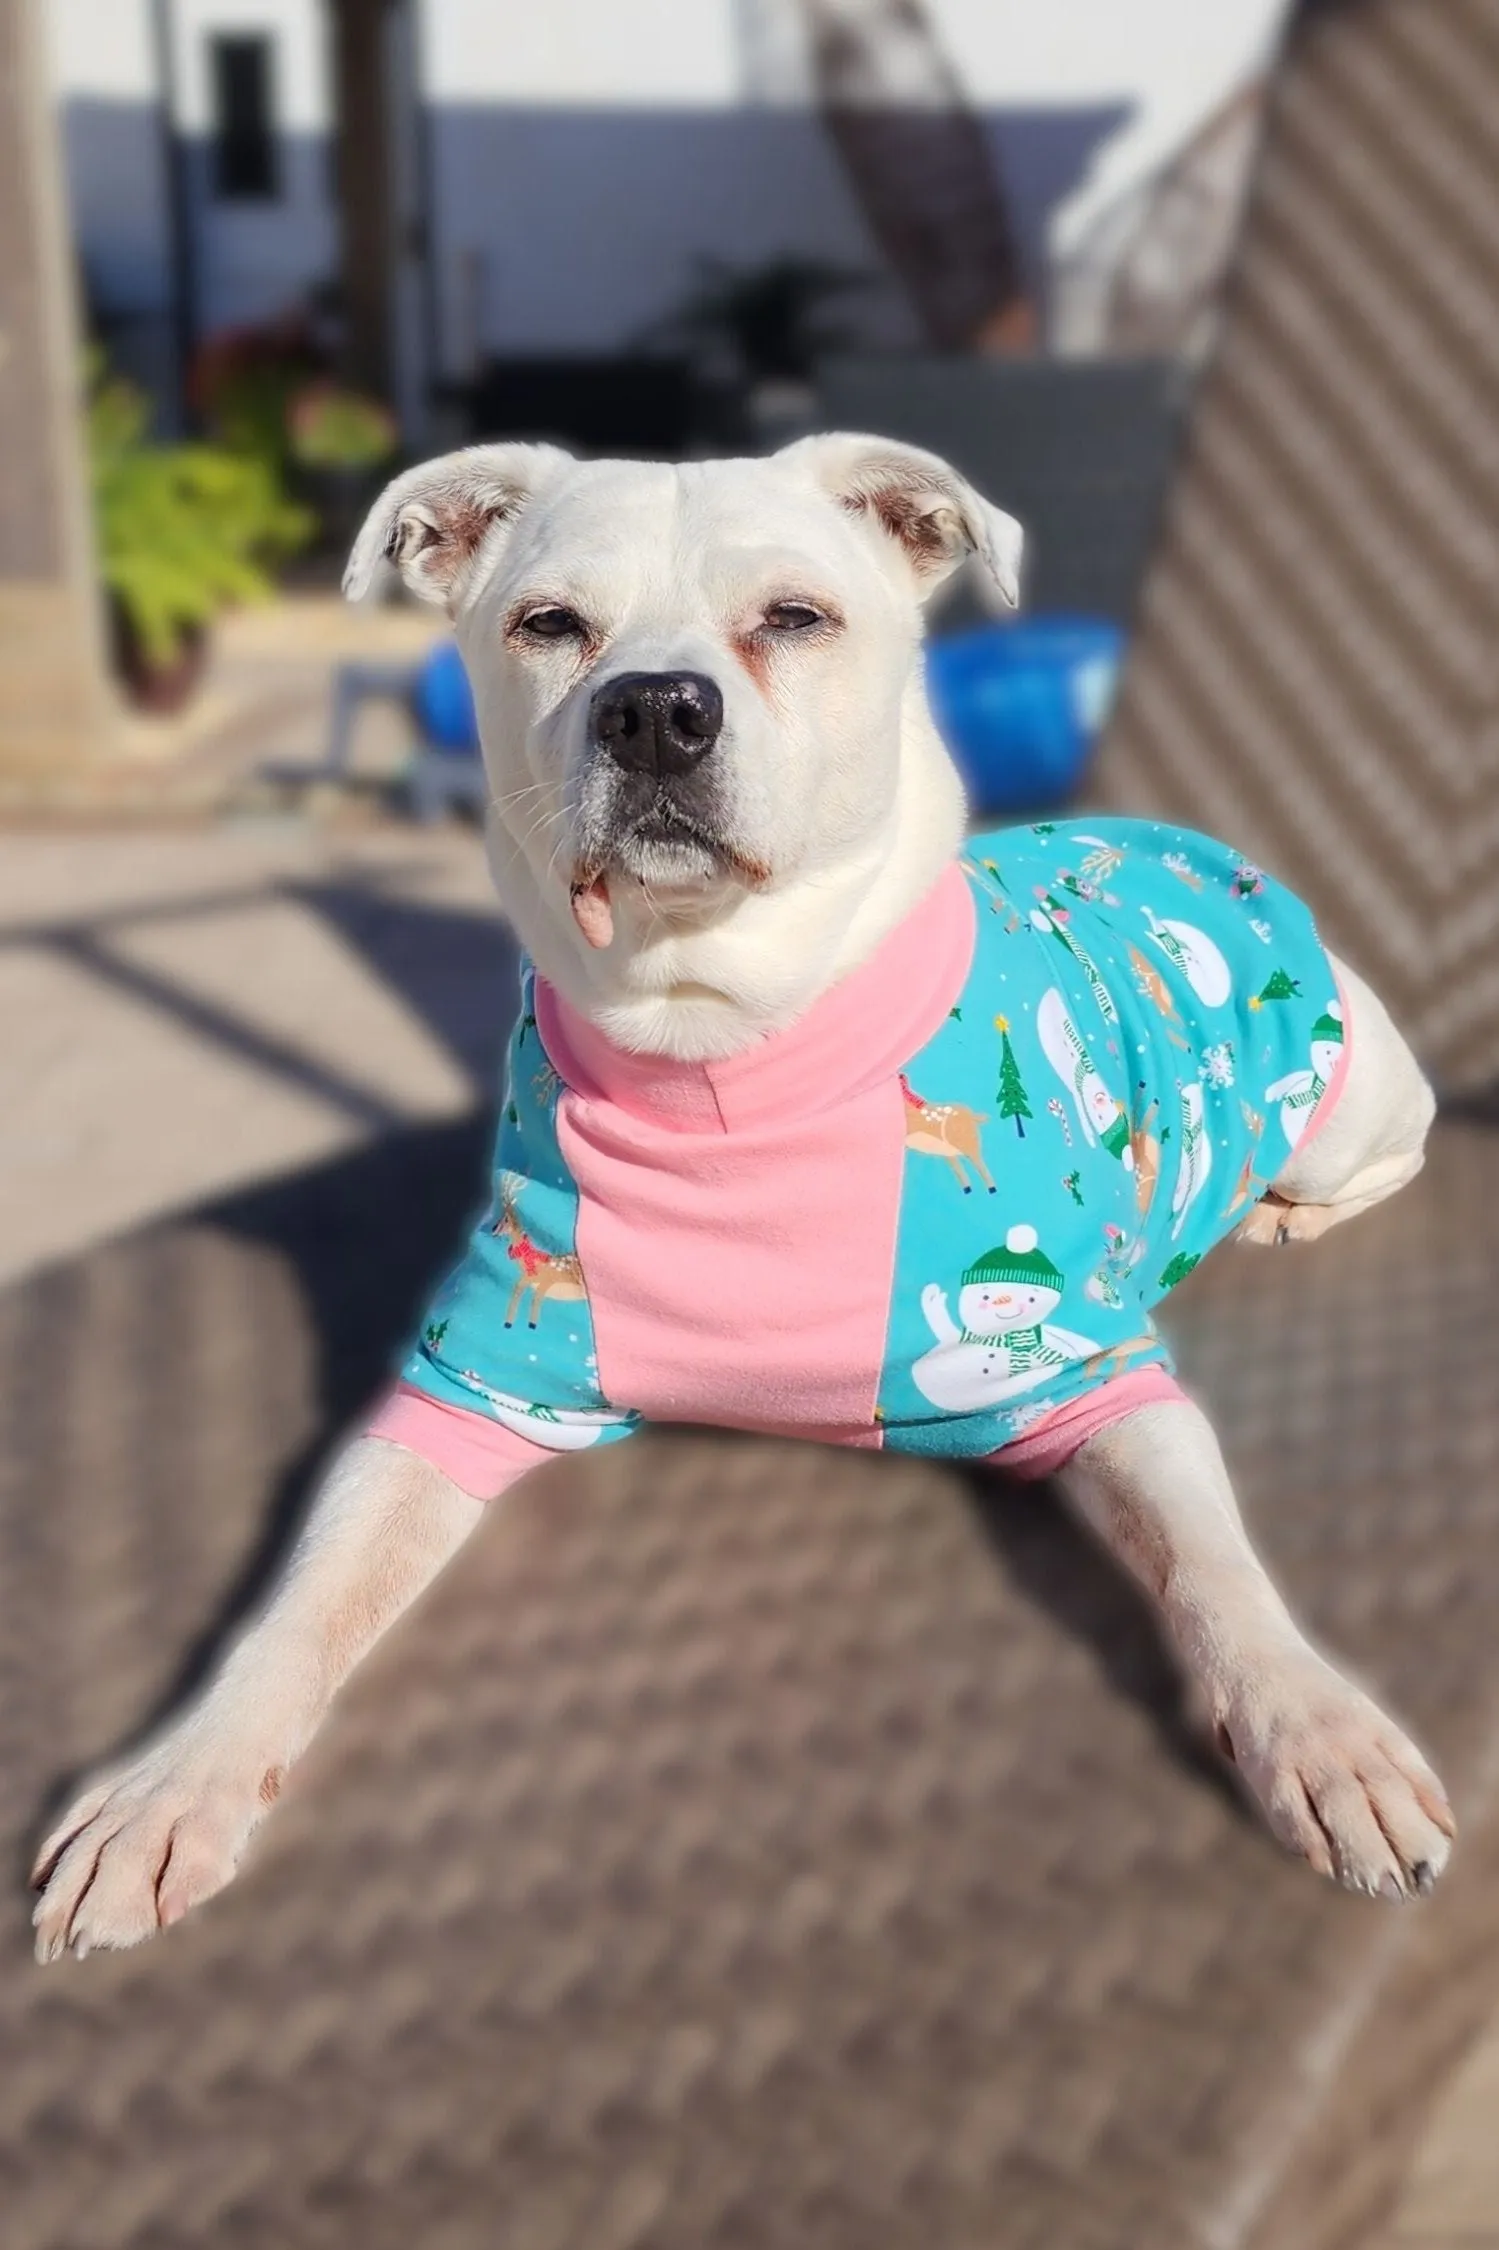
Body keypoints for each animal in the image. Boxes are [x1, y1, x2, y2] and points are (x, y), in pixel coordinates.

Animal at [29, 434, 1440, 1953]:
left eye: (794, 618)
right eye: (547, 625)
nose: (653, 709)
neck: (714, 1045)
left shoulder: (1094, 1380)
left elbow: (1212, 1571)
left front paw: (1318, 1733)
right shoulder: (463, 1396)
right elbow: (300, 1609)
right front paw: (175, 1781)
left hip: (1343, 1100)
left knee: (1390, 1151)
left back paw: (1281, 1210)